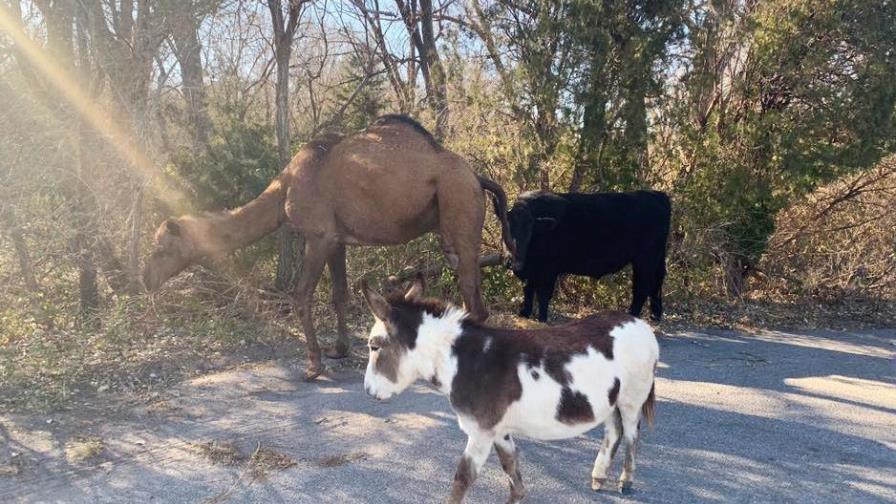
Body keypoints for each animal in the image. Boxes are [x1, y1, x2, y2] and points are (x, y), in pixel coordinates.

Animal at [143, 115, 515, 379]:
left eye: (162, 248)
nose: (144, 279)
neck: (284, 189)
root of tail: (476, 176)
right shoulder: (337, 240)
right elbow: (340, 293)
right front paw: (339, 349)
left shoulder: (317, 236)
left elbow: (301, 294)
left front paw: (314, 365)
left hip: (457, 207)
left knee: (472, 297)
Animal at [507, 190, 671, 322]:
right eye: (507, 227)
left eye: (529, 229)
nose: (512, 260)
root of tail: (657, 195)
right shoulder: (530, 271)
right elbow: (528, 291)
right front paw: (524, 314)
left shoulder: (549, 269)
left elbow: (543, 295)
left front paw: (542, 319)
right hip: (655, 259)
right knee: (657, 282)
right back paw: (654, 316)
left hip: (645, 259)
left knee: (642, 287)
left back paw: (632, 316)